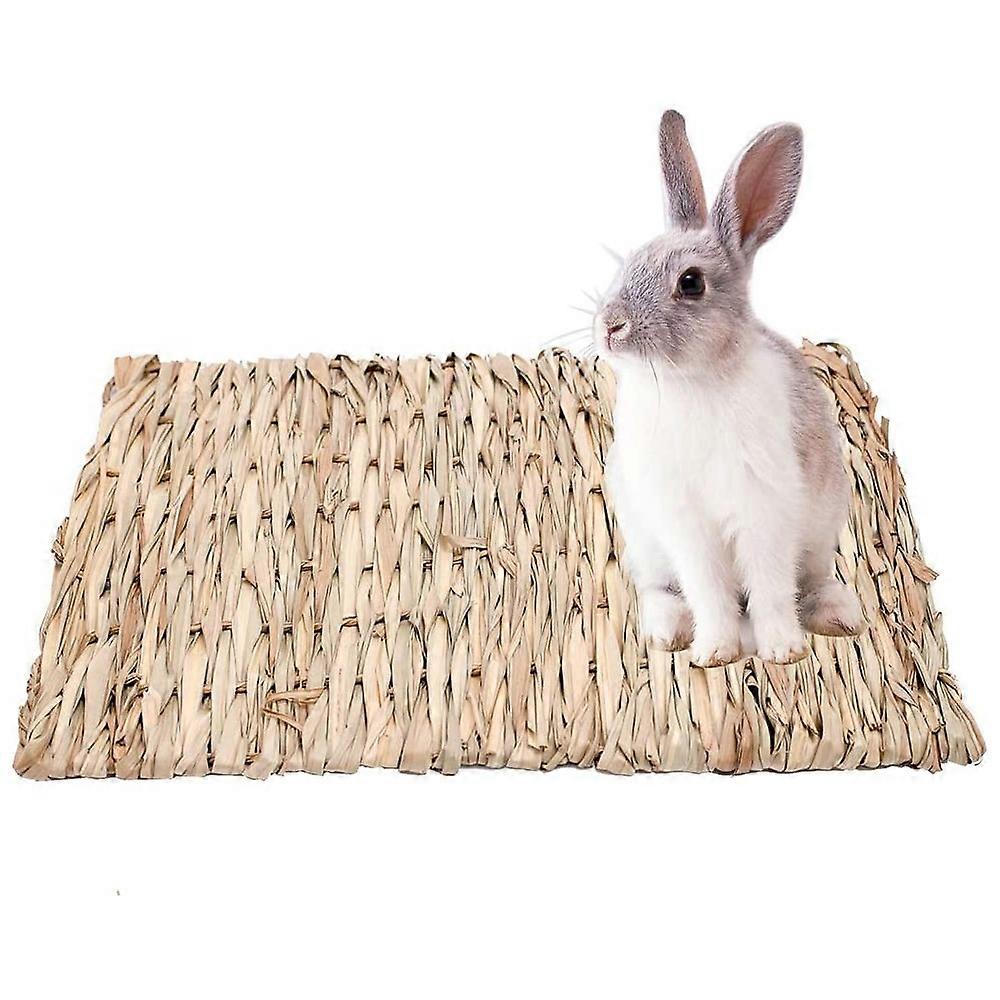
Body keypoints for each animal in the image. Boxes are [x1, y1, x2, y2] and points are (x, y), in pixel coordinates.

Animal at [595, 111, 861, 666]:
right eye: (627, 264)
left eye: (691, 282)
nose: (610, 326)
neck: (691, 382)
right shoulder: (685, 524)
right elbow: (708, 588)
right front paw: (715, 651)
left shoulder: (765, 511)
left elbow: (771, 586)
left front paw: (782, 650)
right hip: (647, 544)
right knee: (658, 589)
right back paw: (666, 632)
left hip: (818, 538)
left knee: (810, 582)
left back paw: (838, 615)